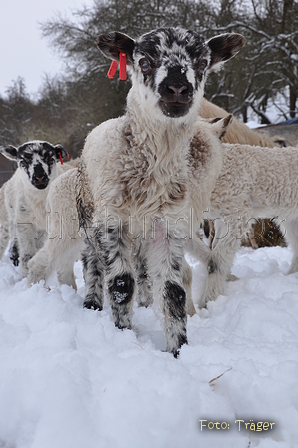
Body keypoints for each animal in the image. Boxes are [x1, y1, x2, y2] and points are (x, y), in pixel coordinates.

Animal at [0, 141, 68, 276]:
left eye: (51, 160)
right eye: (22, 162)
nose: (40, 177)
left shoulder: (49, 225)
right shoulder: (24, 222)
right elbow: (27, 254)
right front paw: (26, 273)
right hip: (9, 217)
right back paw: (13, 254)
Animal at [73, 26, 244, 356]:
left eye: (202, 64)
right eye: (144, 62)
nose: (177, 88)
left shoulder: (170, 225)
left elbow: (173, 291)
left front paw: (179, 350)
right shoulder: (113, 221)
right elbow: (120, 284)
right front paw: (123, 334)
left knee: (143, 272)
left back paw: (144, 301)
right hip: (88, 214)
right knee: (93, 264)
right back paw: (91, 303)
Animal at [198, 144, 298, 308]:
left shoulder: (238, 211)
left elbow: (217, 257)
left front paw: (208, 302)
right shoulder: (221, 216)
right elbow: (214, 249)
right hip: (292, 217)